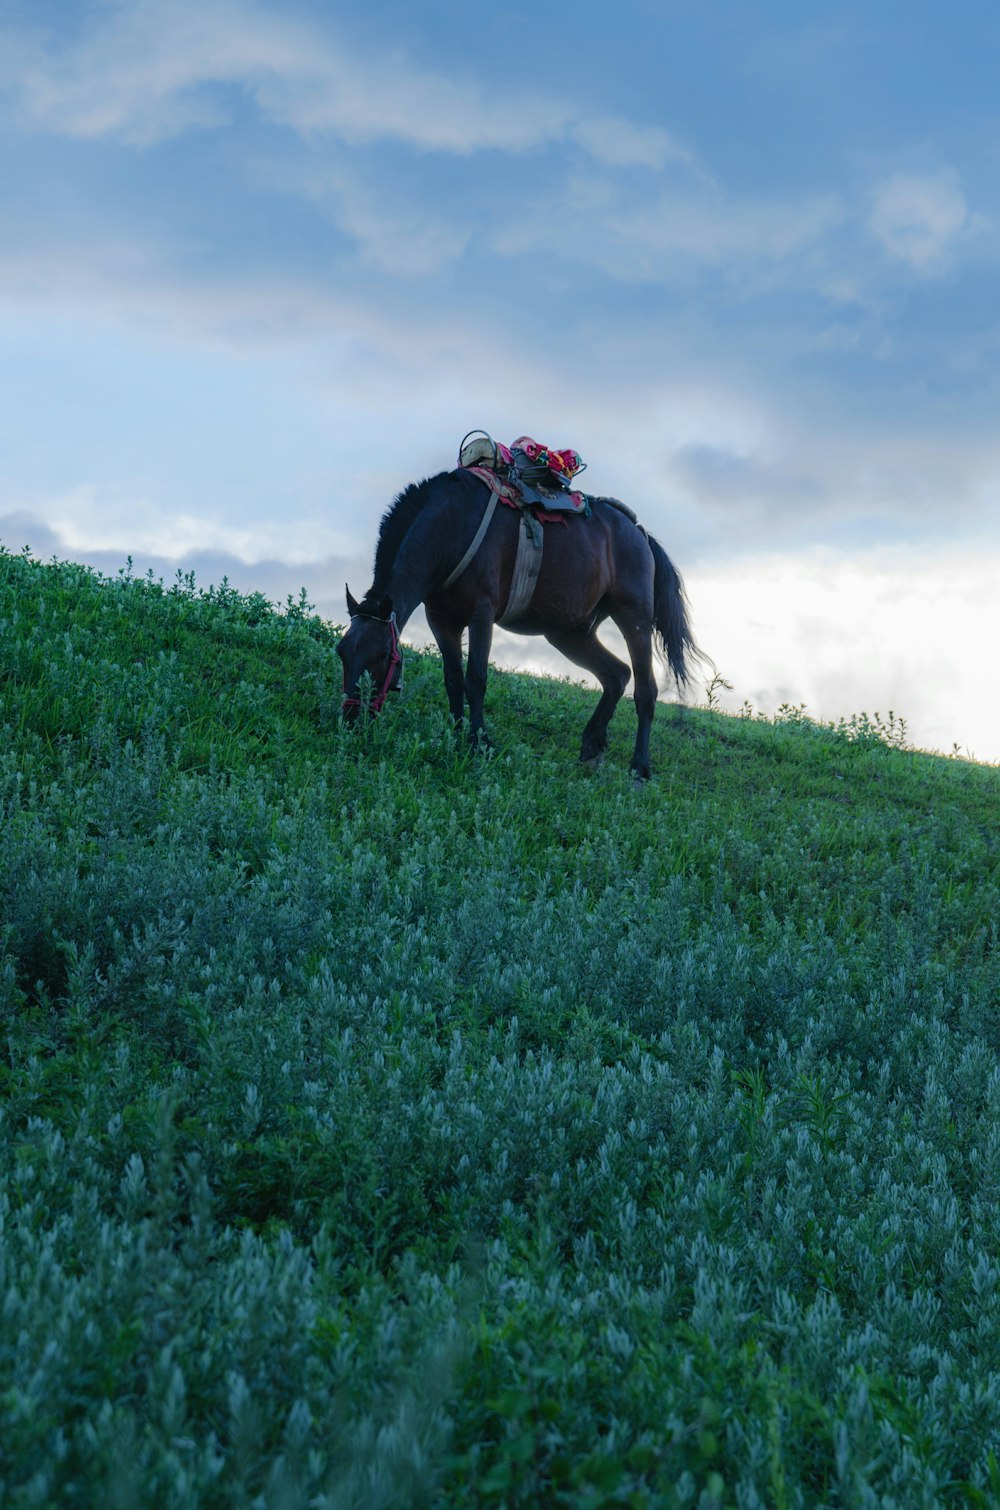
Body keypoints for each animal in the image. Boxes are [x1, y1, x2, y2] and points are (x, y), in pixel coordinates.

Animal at [336, 468, 697, 779]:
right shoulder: (441, 620)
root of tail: (640, 534)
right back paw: (591, 746)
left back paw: (639, 766)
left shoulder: (482, 614)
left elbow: (475, 678)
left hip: (634, 618)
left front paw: (479, 741)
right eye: (341, 652)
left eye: (384, 655)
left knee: (645, 689)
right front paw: (456, 732)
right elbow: (452, 679)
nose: (351, 717)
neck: (454, 525)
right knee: (616, 674)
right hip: (569, 633)